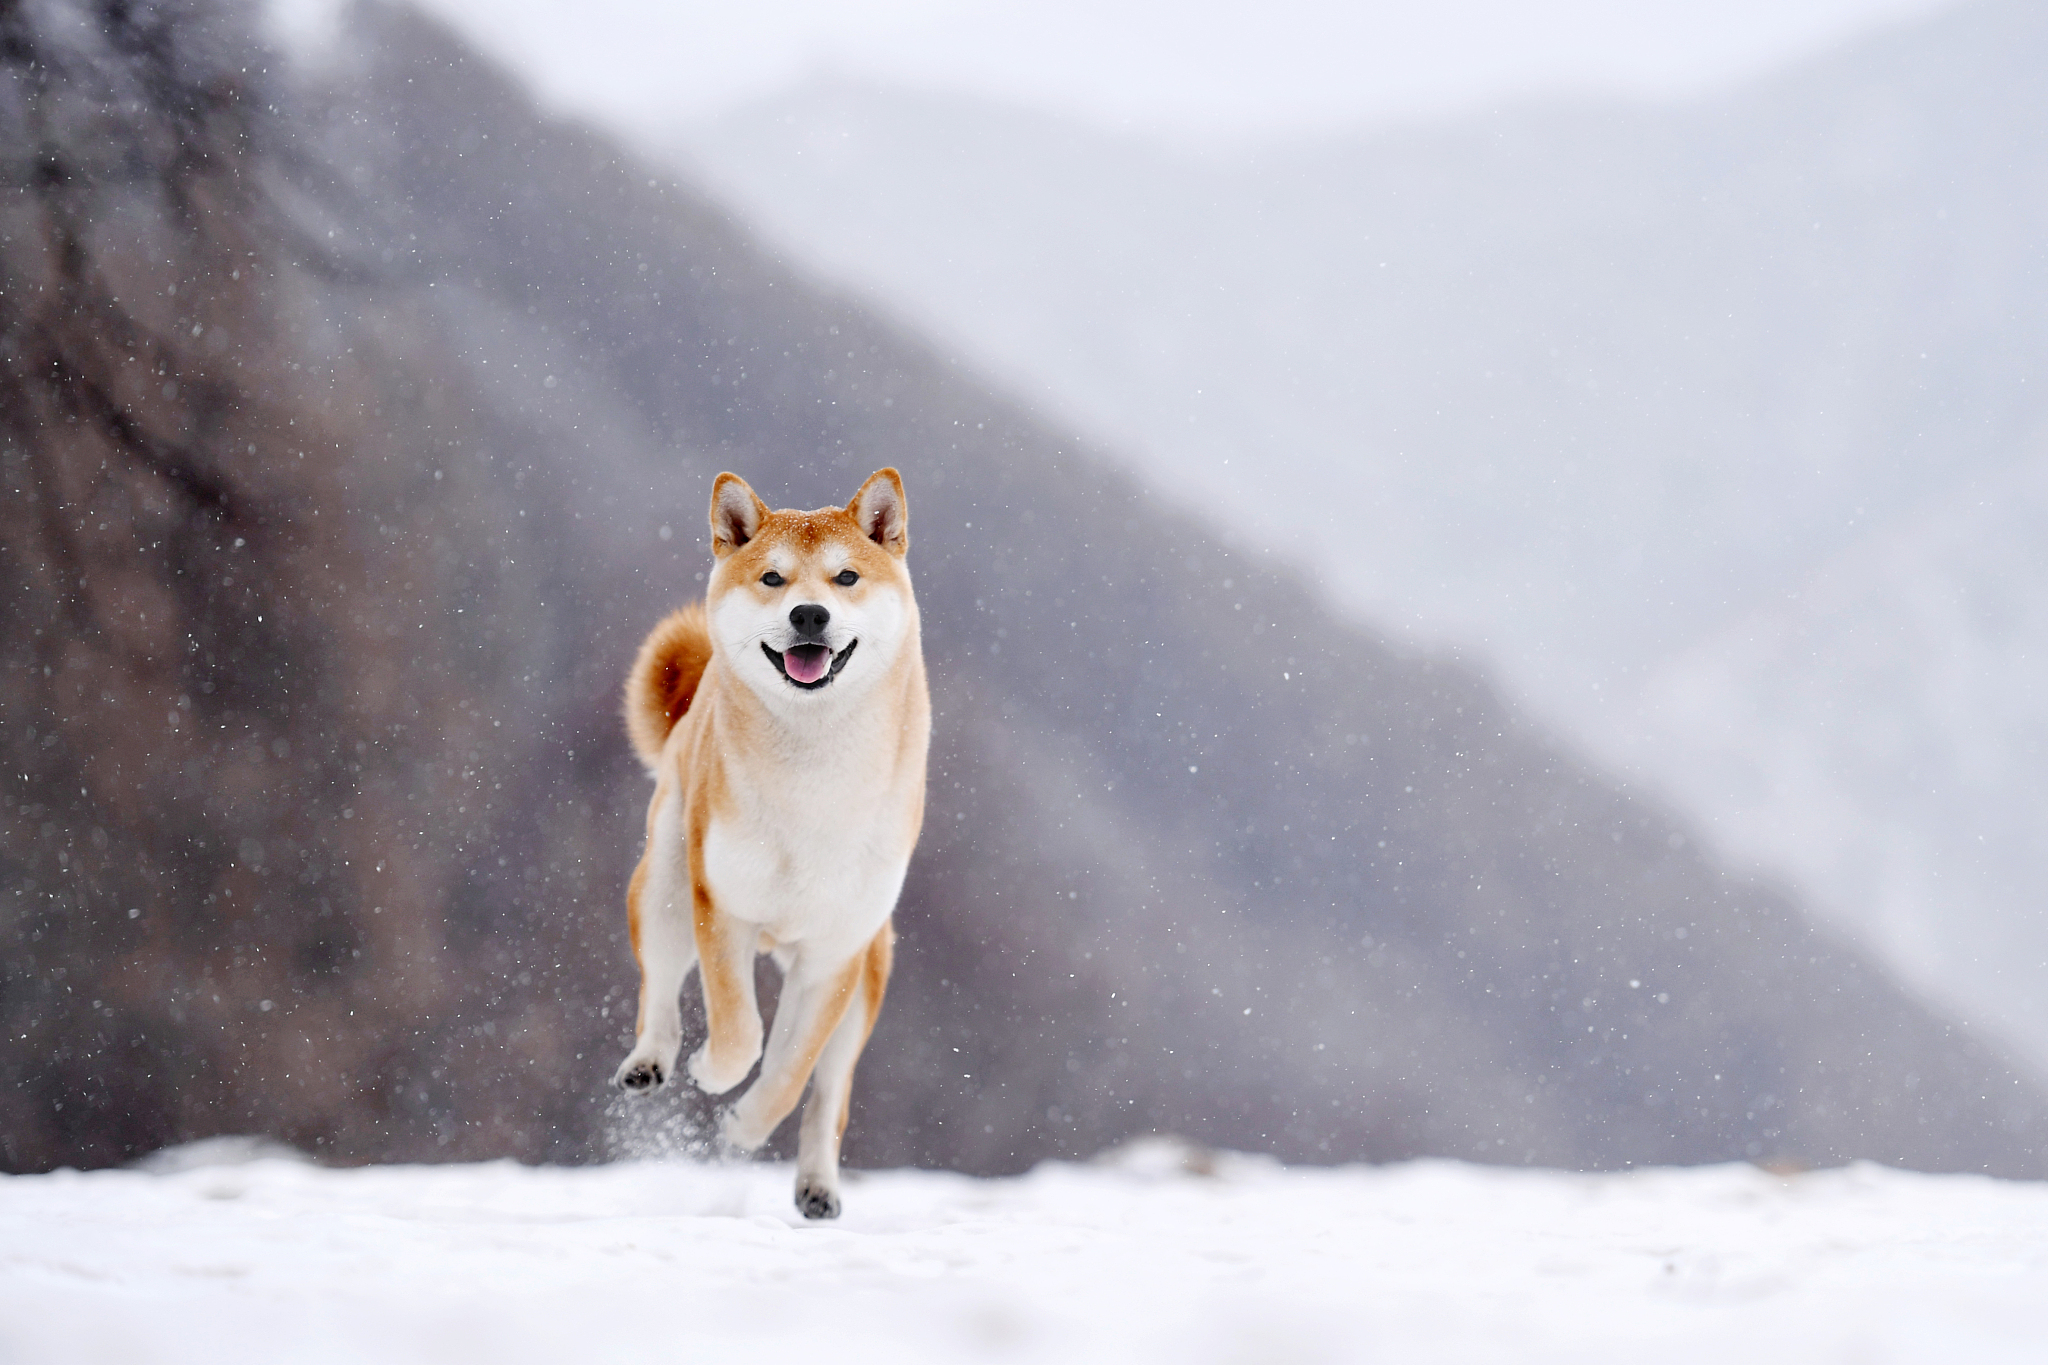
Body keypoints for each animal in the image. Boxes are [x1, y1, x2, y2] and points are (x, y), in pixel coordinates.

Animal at [606, 466, 929, 1219]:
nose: (809, 615)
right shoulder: (722, 906)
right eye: (773, 578)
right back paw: (652, 1062)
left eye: (846, 576)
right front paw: (709, 1072)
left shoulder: (833, 954)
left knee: (830, 1094)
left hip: (868, 978)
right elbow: (740, 1033)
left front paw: (745, 1127)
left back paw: (817, 1188)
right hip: (665, 886)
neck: (812, 779)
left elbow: (789, 1072)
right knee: (659, 987)